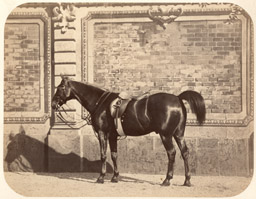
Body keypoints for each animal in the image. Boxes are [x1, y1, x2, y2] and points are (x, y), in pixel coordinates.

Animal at [52, 76, 206, 187]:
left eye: (60, 88)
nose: (53, 104)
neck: (100, 103)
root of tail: (178, 98)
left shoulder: (102, 134)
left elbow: (103, 155)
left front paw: (101, 177)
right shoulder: (112, 136)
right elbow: (114, 155)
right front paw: (115, 177)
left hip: (166, 136)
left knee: (172, 154)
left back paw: (167, 180)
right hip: (178, 134)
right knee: (185, 153)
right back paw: (187, 181)